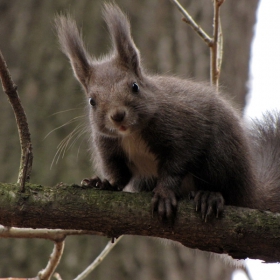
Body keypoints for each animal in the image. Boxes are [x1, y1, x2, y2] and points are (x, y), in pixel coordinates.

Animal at [54, 2, 280, 221]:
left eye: (135, 86)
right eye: (92, 101)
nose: (117, 116)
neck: (133, 134)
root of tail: (252, 189)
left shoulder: (180, 131)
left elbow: (176, 165)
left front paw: (163, 193)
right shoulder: (110, 147)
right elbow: (119, 175)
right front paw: (103, 183)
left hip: (221, 155)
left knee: (226, 190)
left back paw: (210, 196)